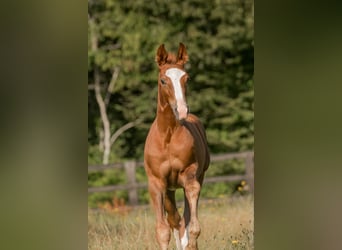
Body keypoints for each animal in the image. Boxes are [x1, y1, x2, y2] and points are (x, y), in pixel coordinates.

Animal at [144, 43, 210, 250]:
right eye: (163, 80)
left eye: (186, 78)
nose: (181, 110)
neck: (168, 137)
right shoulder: (157, 183)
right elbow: (163, 231)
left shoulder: (190, 177)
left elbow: (192, 227)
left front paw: (191, 242)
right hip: (170, 189)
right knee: (175, 220)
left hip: (195, 178)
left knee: (183, 221)